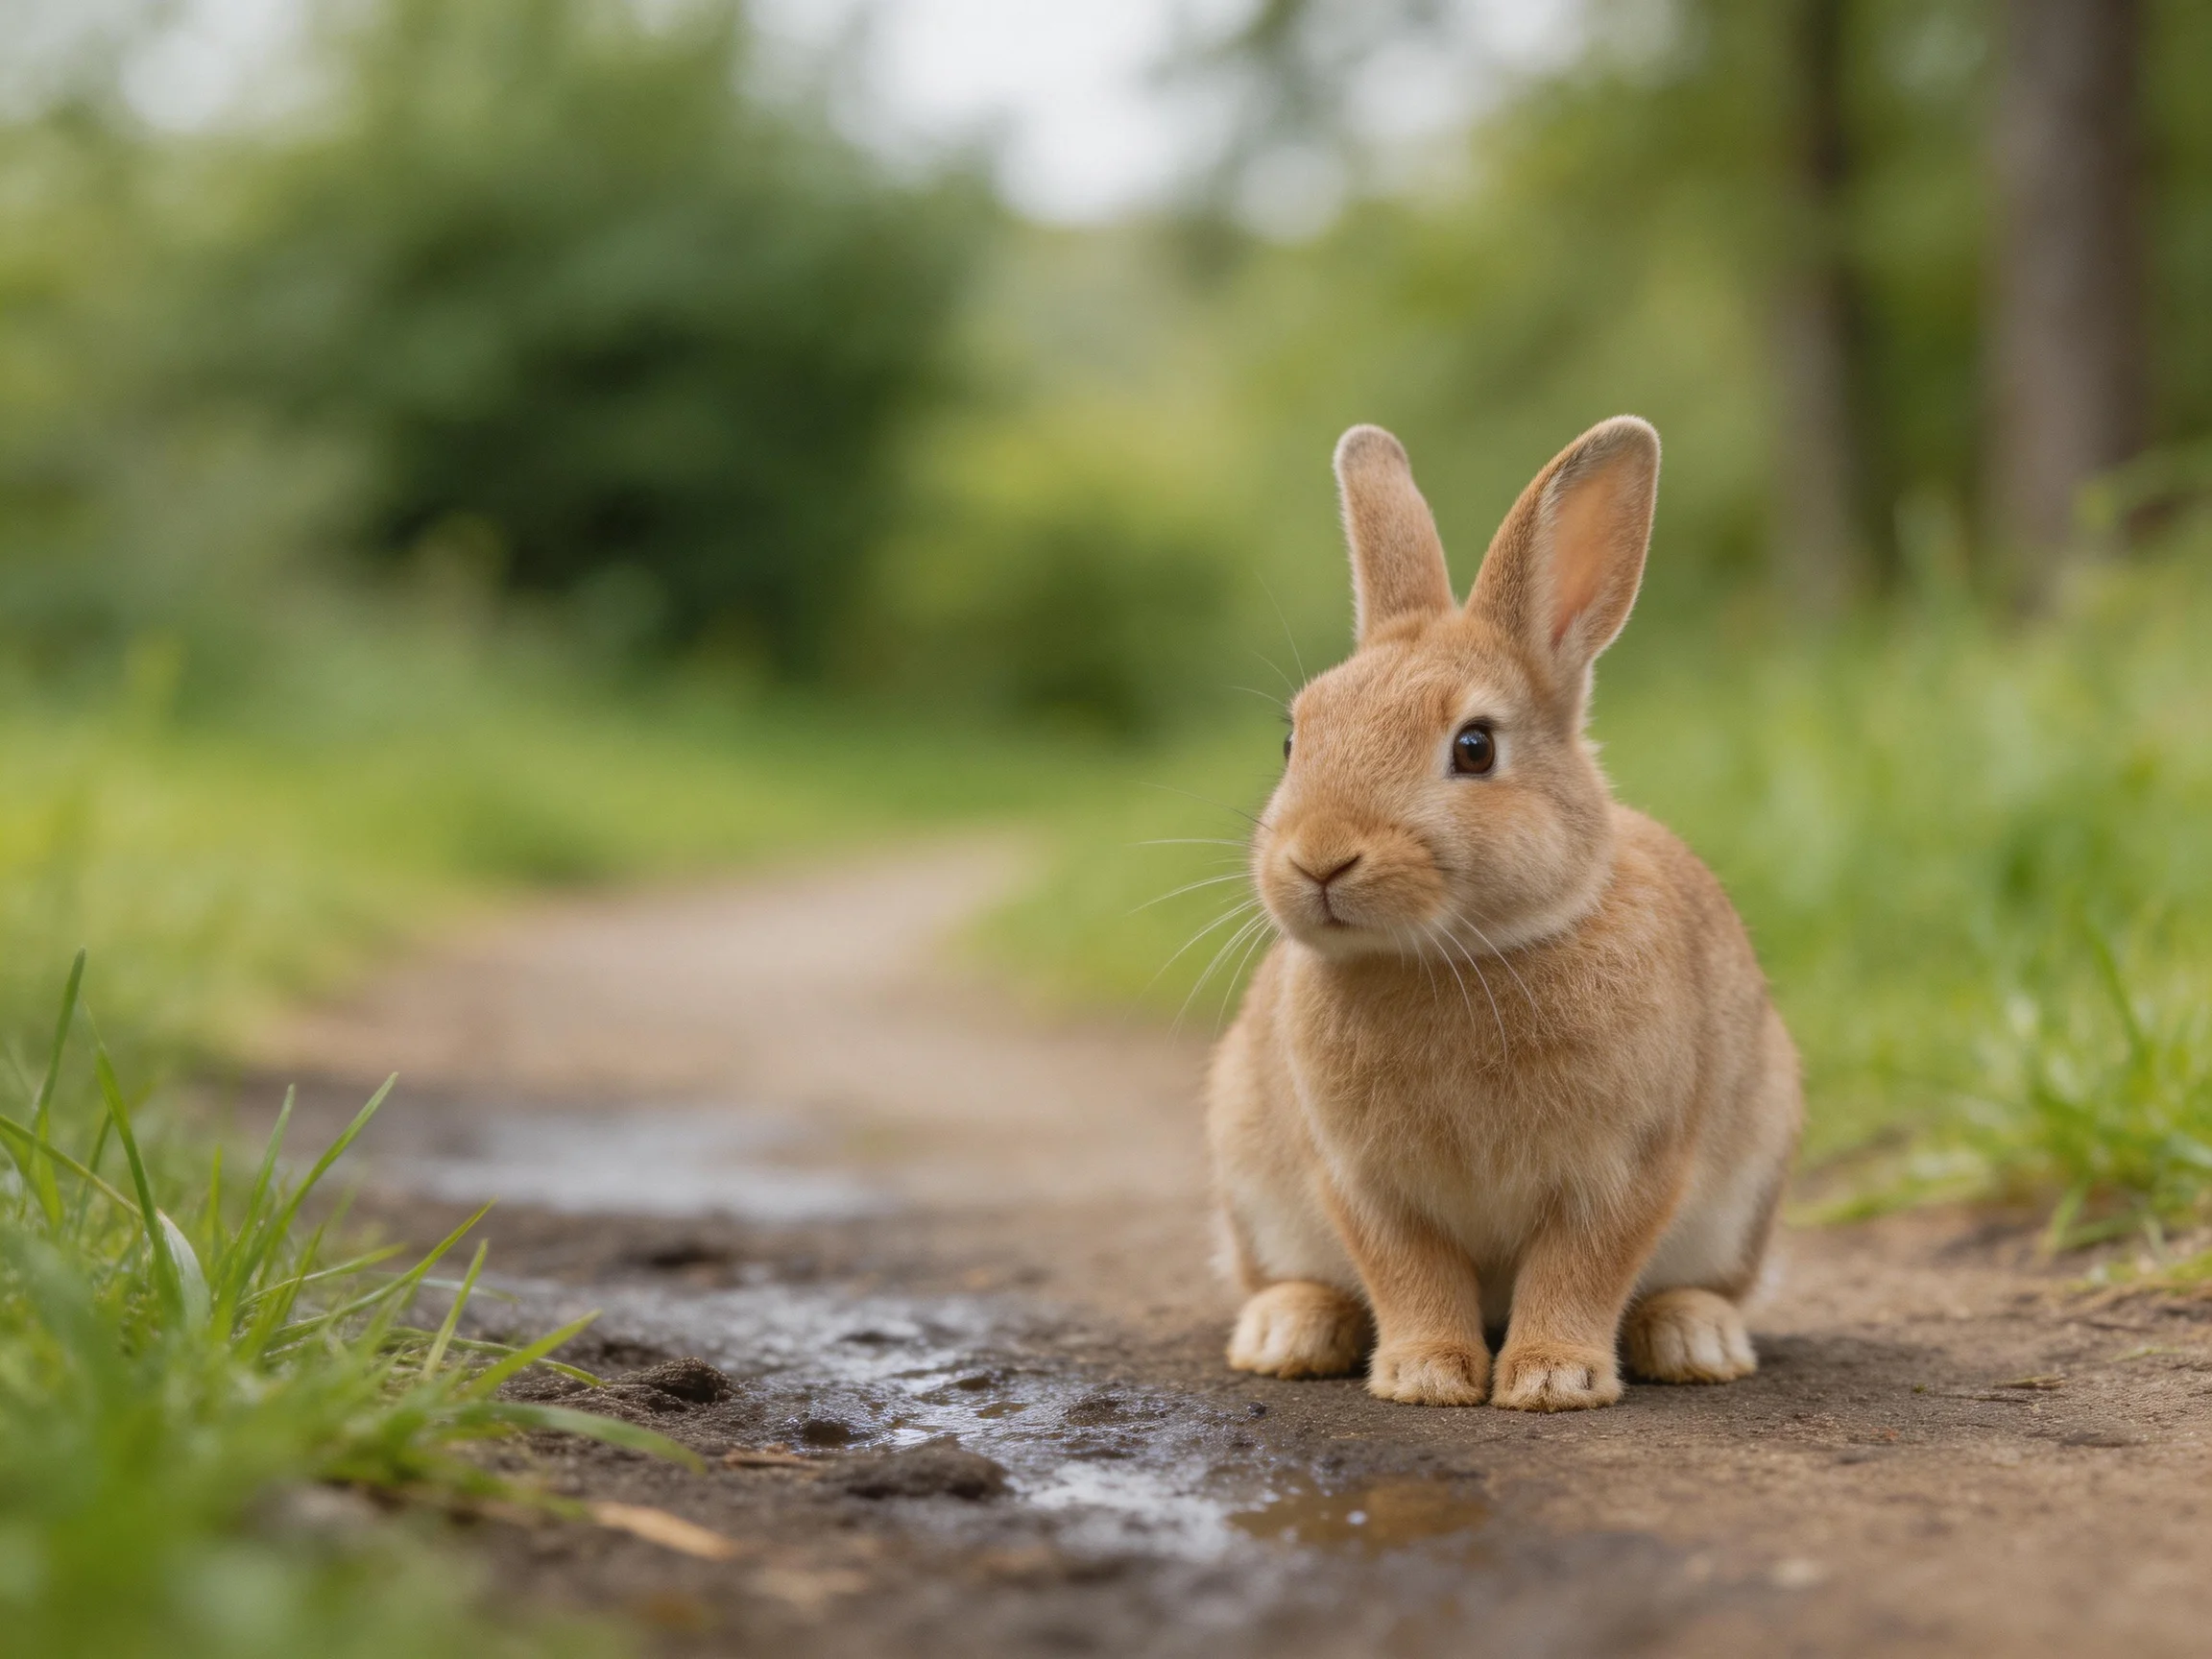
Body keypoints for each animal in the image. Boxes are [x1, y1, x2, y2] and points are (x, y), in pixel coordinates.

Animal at [1205, 416, 1801, 1412]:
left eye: (1475, 747)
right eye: (1295, 737)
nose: (1319, 856)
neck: (1458, 955)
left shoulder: (1629, 1167)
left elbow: (1581, 1267)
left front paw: (1552, 1378)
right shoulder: (1361, 1182)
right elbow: (1409, 1271)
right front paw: (1426, 1375)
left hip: (1747, 1186)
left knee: (1699, 1284)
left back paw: (1695, 1341)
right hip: (1251, 1177)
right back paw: (1287, 1334)